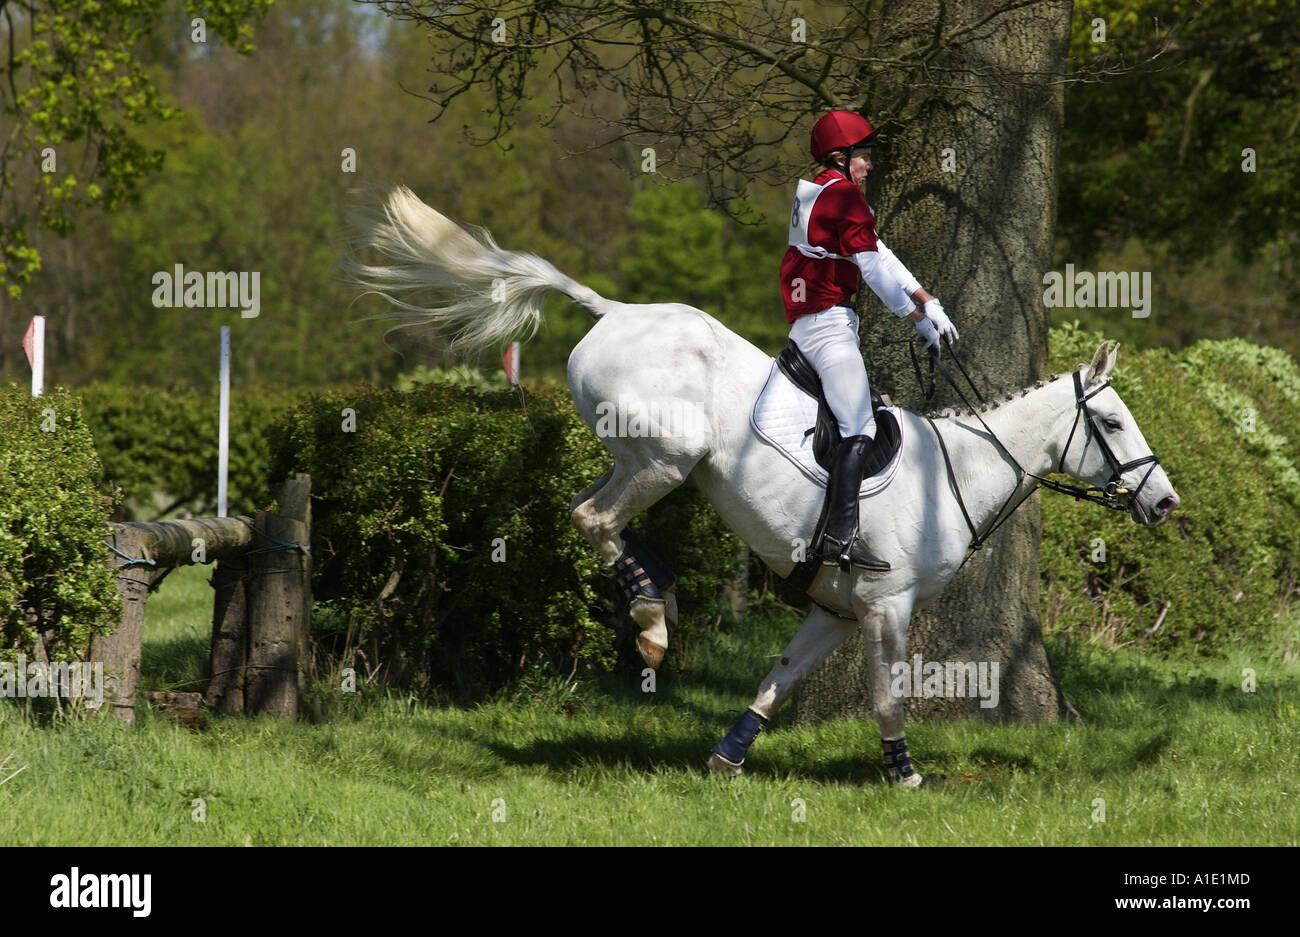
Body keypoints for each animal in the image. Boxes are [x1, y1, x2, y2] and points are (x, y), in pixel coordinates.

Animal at [343, 185, 1180, 788]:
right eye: (1111, 420)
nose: (1165, 499)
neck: (952, 475)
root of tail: (614, 310)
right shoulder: (887, 604)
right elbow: (887, 694)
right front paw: (905, 774)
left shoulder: (836, 610)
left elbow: (776, 679)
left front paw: (729, 756)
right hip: (669, 458)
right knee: (592, 518)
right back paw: (652, 616)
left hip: (639, 458)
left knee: (589, 509)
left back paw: (655, 595)